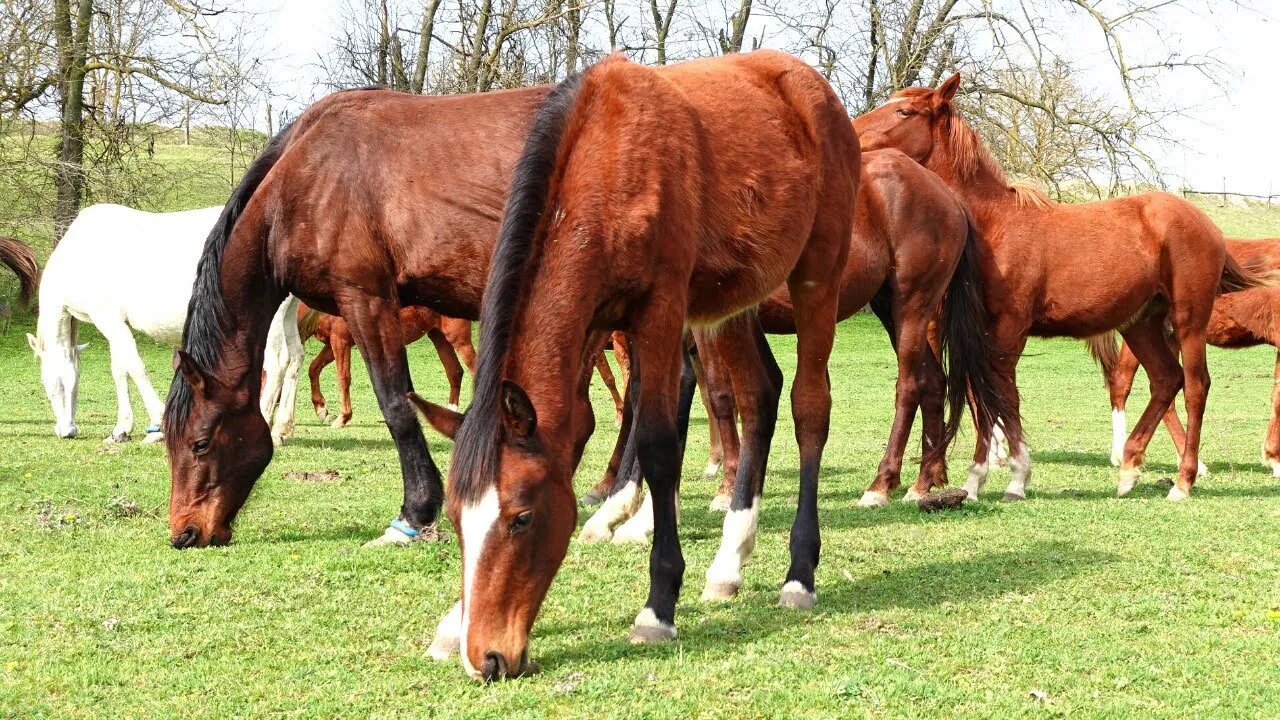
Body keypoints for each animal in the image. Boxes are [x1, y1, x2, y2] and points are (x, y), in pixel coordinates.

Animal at [30, 202, 302, 445]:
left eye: (45, 381)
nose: (67, 430)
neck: (79, 255)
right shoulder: (114, 323)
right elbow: (120, 369)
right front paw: (121, 428)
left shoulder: (108, 319)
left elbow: (135, 367)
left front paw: (157, 425)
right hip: (287, 316)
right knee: (294, 359)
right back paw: (281, 430)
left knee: (276, 365)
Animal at [161, 82, 555, 548]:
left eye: (200, 443)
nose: (184, 533)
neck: (305, 183)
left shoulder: (366, 302)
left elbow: (397, 406)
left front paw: (413, 513)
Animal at [409, 51, 860, 676]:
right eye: (455, 519)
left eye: (522, 517)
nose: (490, 656)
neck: (608, 162)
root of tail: (814, 89)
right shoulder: (594, 323)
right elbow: (575, 430)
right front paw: (454, 623)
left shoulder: (659, 313)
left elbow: (658, 444)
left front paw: (657, 606)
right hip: (730, 301)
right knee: (759, 396)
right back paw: (729, 561)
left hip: (816, 275)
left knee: (808, 407)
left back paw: (799, 574)